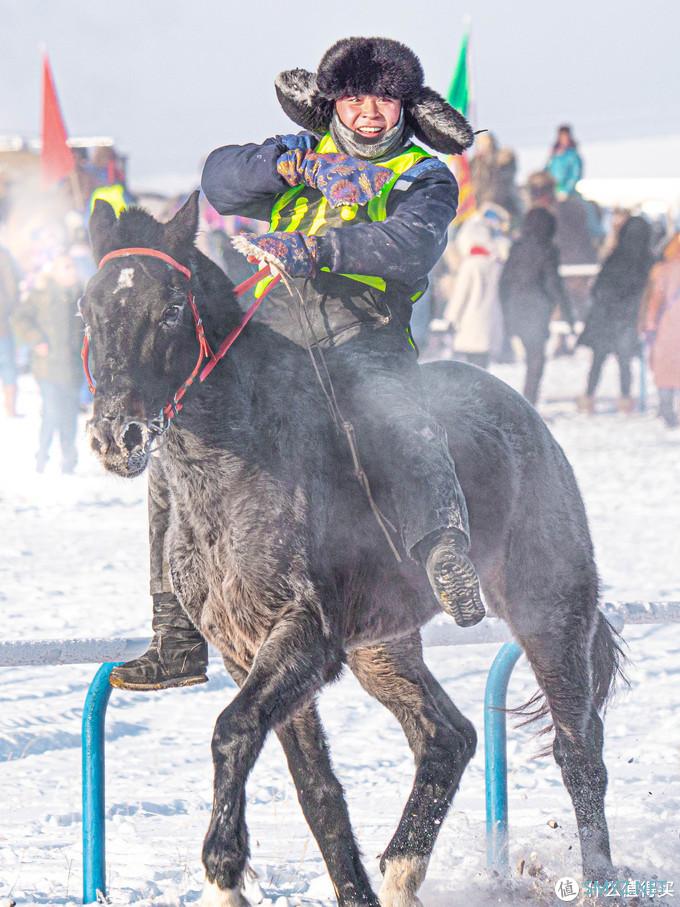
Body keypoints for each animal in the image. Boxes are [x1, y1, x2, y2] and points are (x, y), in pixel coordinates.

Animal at [86, 197, 628, 907]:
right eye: (88, 307)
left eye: (172, 306)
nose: (114, 436)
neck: (238, 459)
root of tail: (527, 416)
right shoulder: (246, 650)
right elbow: (315, 790)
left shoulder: (304, 635)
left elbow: (233, 730)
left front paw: (223, 868)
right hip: (383, 647)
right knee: (446, 737)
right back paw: (401, 870)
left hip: (550, 611)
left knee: (578, 751)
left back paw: (598, 878)